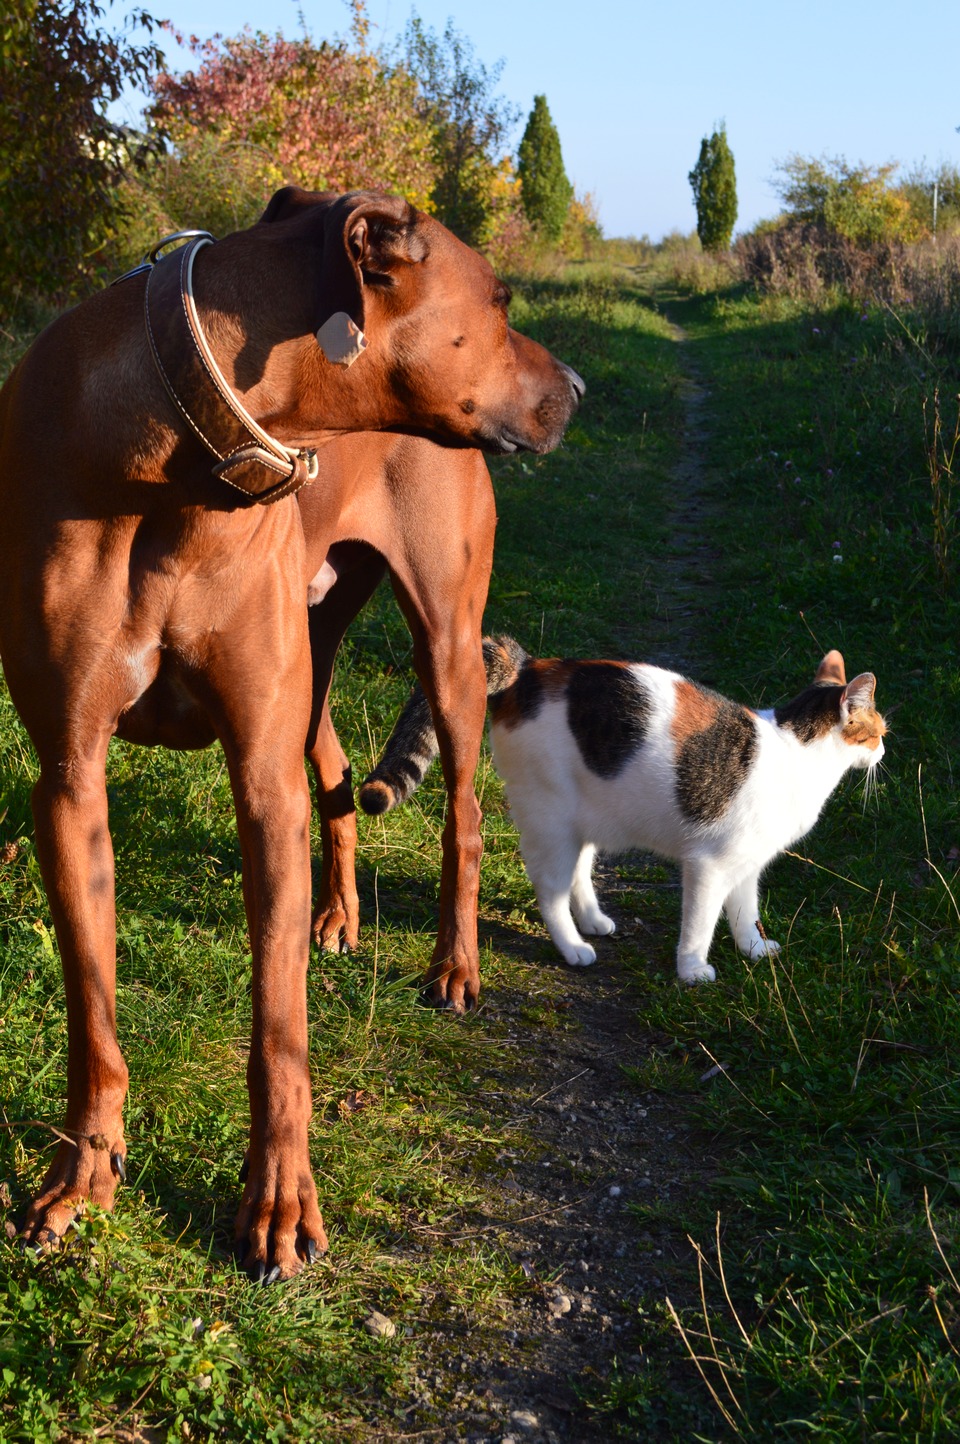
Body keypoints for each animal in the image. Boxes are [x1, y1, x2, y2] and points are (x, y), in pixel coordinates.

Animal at [0, 186, 580, 1282]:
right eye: (499, 300)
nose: (577, 388)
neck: (180, 453)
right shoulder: (69, 778)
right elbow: (93, 1012)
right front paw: (81, 1179)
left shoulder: (259, 784)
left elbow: (279, 1025)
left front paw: (277, 1208)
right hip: (312, 661)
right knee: (343, 775)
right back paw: (341, 915)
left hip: (445, 646)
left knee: (463, 815)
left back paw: (453, 967)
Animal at [359, 641, 883, 987]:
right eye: (878, 731)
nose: (882, 751)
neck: (797, 751)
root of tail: (528, 668)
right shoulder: (709, 866)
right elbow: (701, 924)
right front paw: (693, 970)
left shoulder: (747, 865)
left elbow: (745, 911)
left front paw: (754, 950)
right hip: (551, 819)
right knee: (550, 889)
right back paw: (573, 946)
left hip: (584, 817)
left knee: (579, 874)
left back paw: (593, 920)